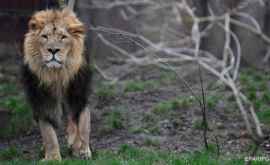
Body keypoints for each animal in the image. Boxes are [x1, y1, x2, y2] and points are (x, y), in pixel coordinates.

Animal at [21, 8, 93, 160]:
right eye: (45, 36)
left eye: (63, 37)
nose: (53, 50)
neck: (57, 74)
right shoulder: (42, 98)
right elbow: (48, 132)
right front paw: (53, 157)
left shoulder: (78, 93)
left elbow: (83, 122)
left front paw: (83, 150)